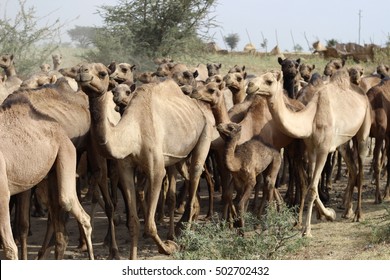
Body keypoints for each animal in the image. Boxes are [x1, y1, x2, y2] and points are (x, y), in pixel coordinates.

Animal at [0, 96, 93, 260]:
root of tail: (61, 129)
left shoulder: (3, 194)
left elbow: (10, 248)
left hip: (66, 151)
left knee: (75, 209)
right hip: (52, 174)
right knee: (61, 233)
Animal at [76, 62, 213, 260]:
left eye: (102, 73)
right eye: (80, 68)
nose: (82, 72)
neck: (134, 132)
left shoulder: (156, 170)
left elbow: (149, 225)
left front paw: (168, 247)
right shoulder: (125, 169)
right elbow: (134, 223)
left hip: (205, 132)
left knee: (195, 173)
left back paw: (186, 233)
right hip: (179, 157)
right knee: (187, 178)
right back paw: (190, 219)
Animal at [248, 69, 374, 236]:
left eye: (269, 81)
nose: (250, 85)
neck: (310, 121)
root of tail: (363, 94)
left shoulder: (323, 150)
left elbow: (313, 189)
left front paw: (307, 230)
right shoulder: (312, 150)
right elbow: (310, 186)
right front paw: (330, 214)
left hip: (364, 129)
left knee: (360, 167)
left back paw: (359, 215)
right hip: (343, 142)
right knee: (352, 168)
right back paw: (348, 211)